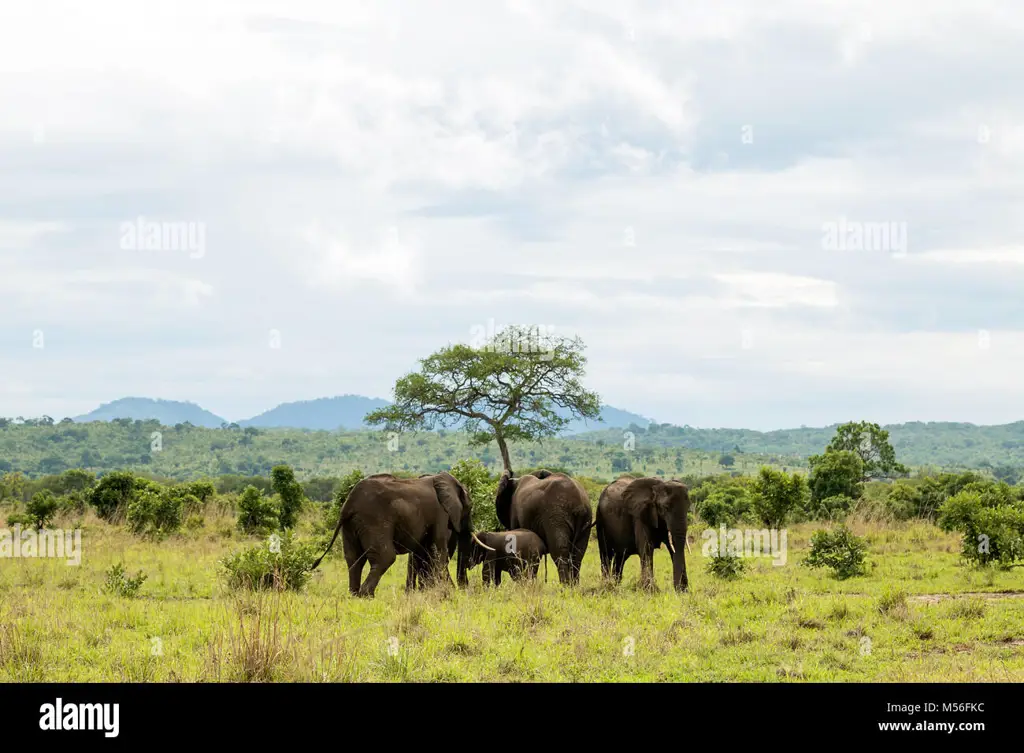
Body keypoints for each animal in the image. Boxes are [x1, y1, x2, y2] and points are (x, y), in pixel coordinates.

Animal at [311, 471, 487, 602]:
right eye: (470, 507)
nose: (464, 590)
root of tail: (348, 505)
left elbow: (424, 553)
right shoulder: (441, 515)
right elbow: (438, 552)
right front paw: (446, 593)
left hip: (351, 526)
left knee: (354, 559)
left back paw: (354, 596)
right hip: (374, 520)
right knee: (385, 557)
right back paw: (367, 597)